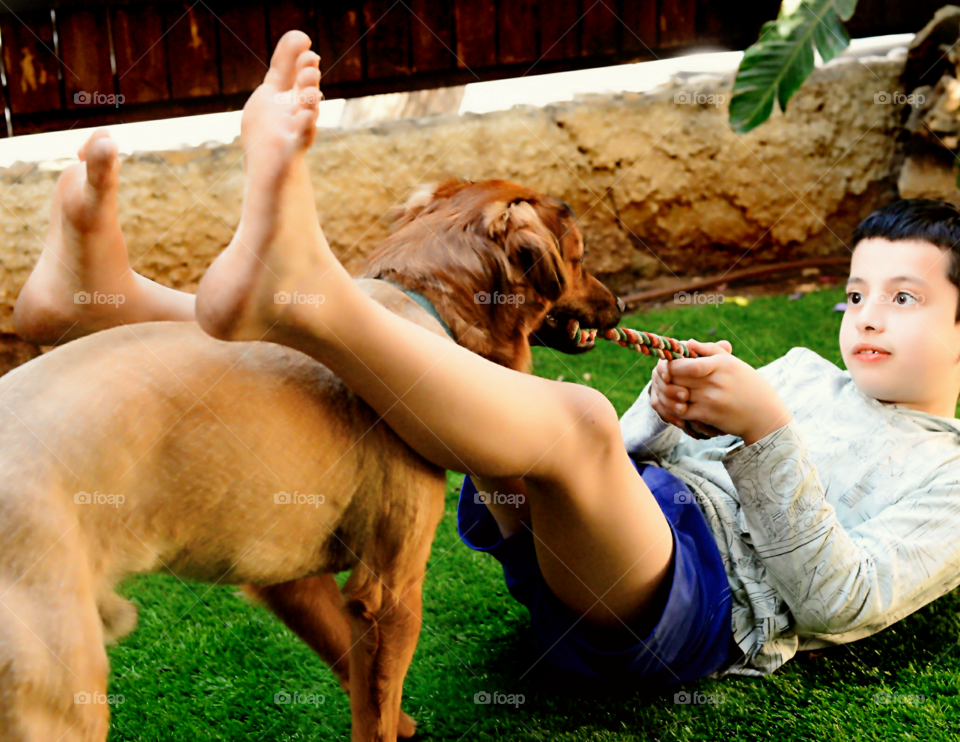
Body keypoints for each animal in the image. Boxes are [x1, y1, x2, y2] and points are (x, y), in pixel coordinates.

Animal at [0, 177, 624, 740]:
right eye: (580, 256)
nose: (619, 303)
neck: (411, 301)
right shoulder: (390, 591)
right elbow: (375, 707)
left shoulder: (288, 581)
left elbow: (353, 674)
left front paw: (402, 721)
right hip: (63, 691)